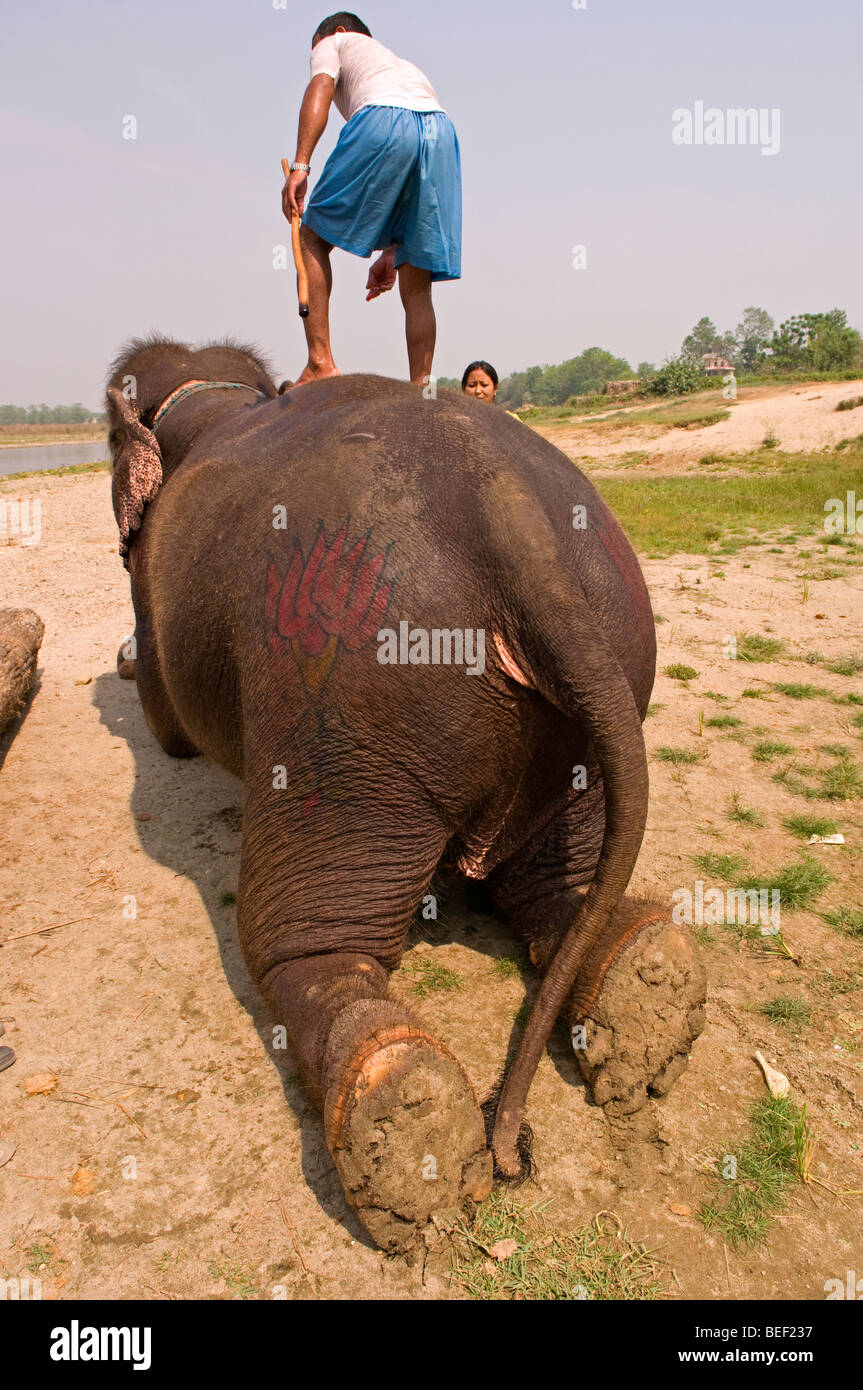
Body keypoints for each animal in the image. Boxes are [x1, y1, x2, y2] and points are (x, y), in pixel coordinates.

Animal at [105, 336, 705, 1253]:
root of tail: (508, 514)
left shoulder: (152, 583)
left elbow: (166, 722)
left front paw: (129, 672)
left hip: (344, 719)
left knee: (302, 944)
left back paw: (400, 1113)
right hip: (605, 663)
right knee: (555, 883)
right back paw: (645, 990)